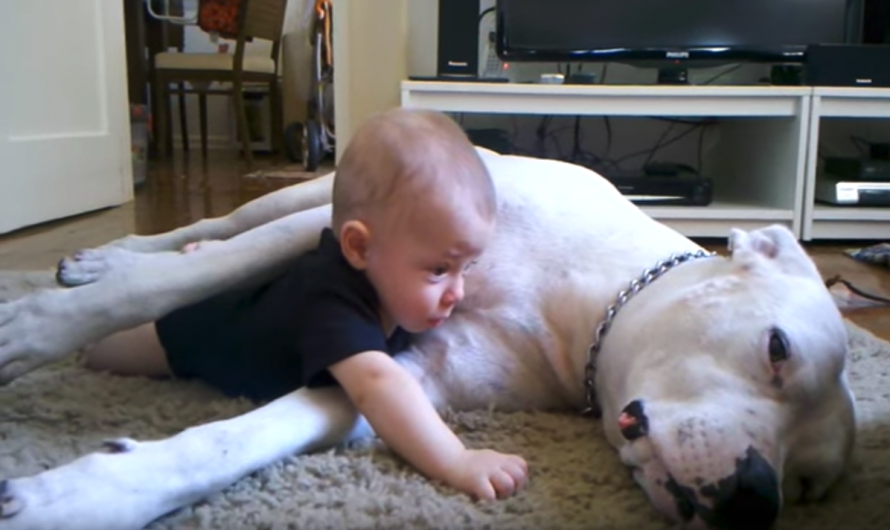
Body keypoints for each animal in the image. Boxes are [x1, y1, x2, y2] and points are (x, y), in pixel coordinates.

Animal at [0, 147, 852, 528]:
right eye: (777, 350)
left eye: (812, 485)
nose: (756, 500)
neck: (591, 302)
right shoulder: (346, 232)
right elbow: (168, 286)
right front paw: (34, 328)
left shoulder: (418, 376)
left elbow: (247, 436)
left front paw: (83, 495)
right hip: (308, 194)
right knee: (212, 230)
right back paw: (104, 257)